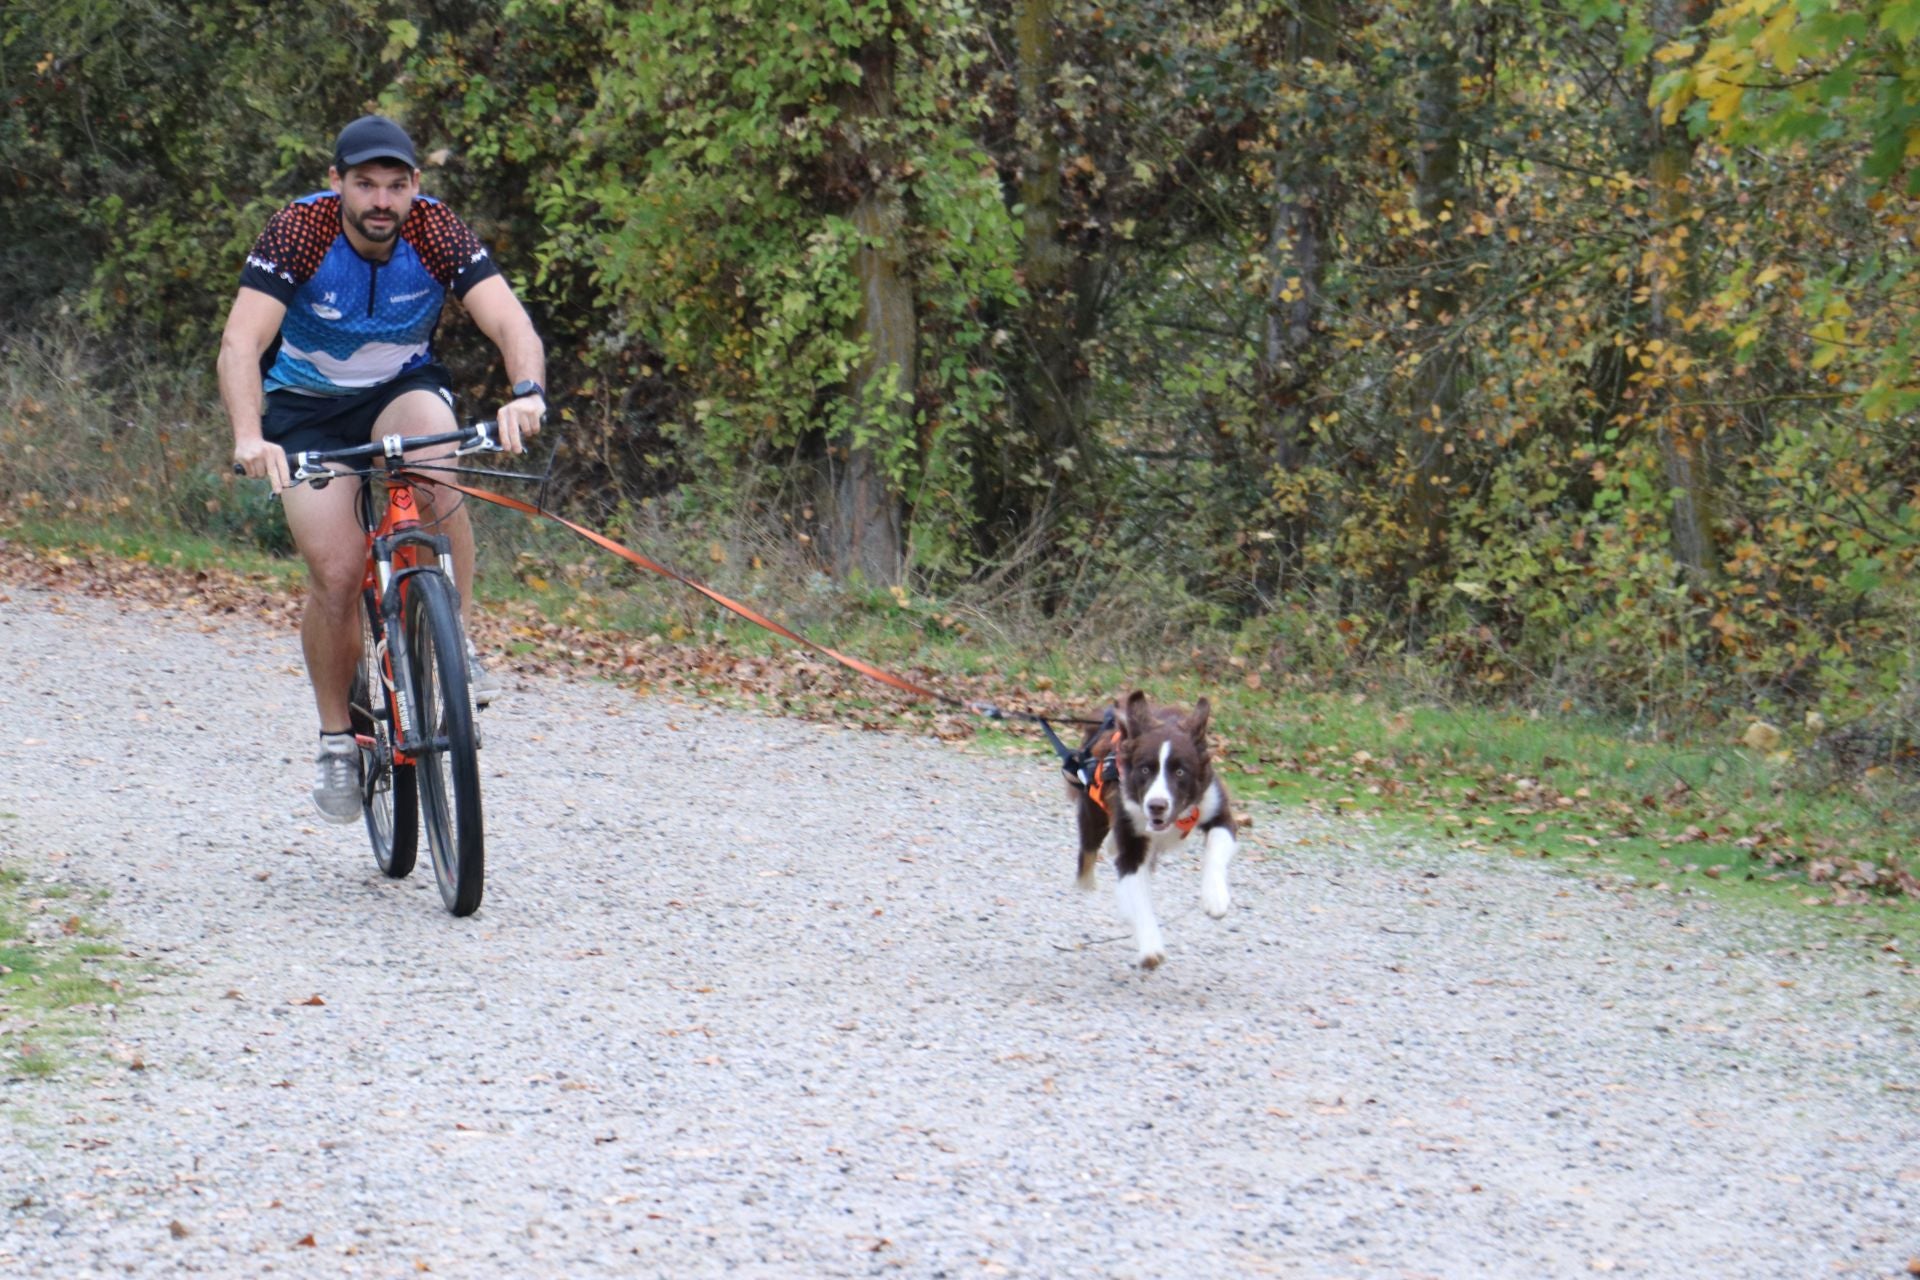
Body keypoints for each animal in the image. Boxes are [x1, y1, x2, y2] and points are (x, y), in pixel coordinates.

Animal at [1075, 690, 1236, 971]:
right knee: (1088, 853)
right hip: (1093, 813)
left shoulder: (1217, 809)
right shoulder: (1131, 839)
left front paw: (1214, 897)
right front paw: (1150, 947)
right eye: (1145, 769)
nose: (1156, 806)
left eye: (1180, 771)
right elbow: (1138, 896)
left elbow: (1216, 850)